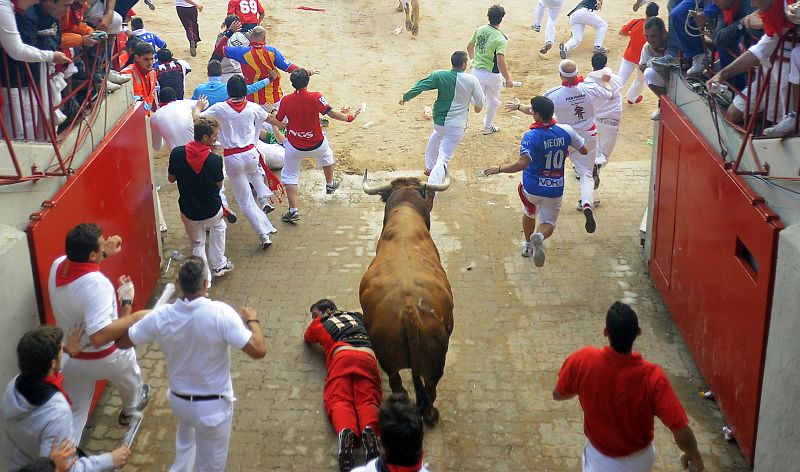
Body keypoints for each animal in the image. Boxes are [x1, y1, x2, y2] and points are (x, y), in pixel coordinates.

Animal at [360, 172, 454, 424]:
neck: (405, 213)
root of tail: (410, 309)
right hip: (433, 365)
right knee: (427, 389)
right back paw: (431, 415)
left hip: (398, 363)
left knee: (403, 385)